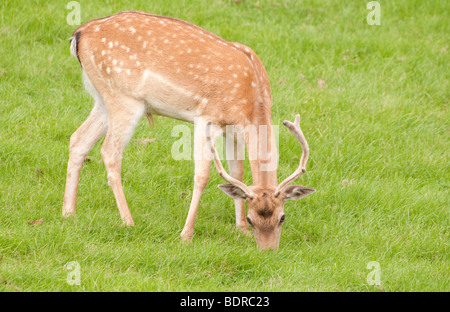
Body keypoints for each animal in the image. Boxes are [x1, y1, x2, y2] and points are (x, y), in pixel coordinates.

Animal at [63, 11, 314, 251]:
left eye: (282, 217)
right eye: (254, 219)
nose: (268, 250)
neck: (253, 102)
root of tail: (79, 34)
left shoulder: (233, 130)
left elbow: (238, 172)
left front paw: (239, 229)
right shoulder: (207, 118)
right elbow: (202, 176)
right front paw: (186, 235)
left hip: (102, 98)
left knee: (78, 139)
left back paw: (68, 212)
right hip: (124, 98)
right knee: (109, 152)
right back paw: (128, 220)